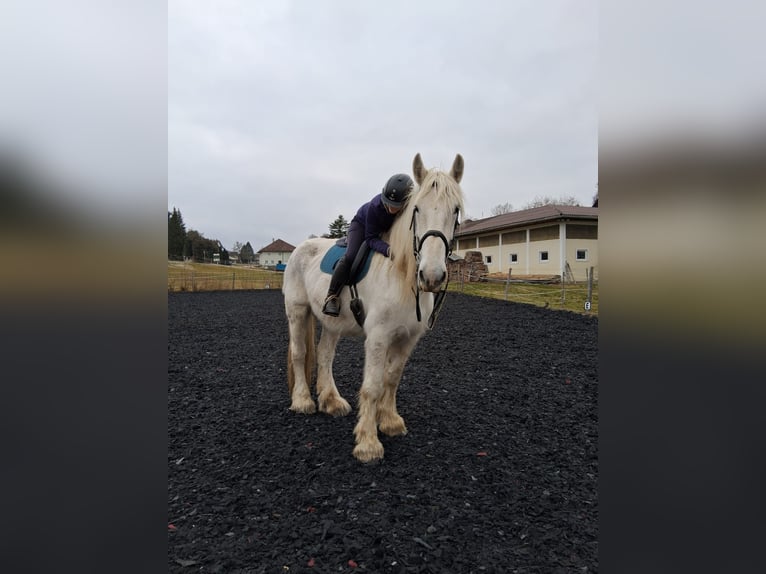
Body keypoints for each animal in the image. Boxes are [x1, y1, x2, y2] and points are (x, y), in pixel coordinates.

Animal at [282, 153, 465, 462]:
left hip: (331, 322)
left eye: (455, 211)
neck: (402, 276)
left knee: (324, 355)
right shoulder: (378, 337)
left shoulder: (408, 338)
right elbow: (373, 385)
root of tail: (300, 248)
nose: (431, 276)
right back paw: (303, 400)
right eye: (416, 209)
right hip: (297, 311)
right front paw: (368, 442)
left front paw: (389, 421)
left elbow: (392, 378)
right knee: (300, 353)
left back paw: (331, 401)